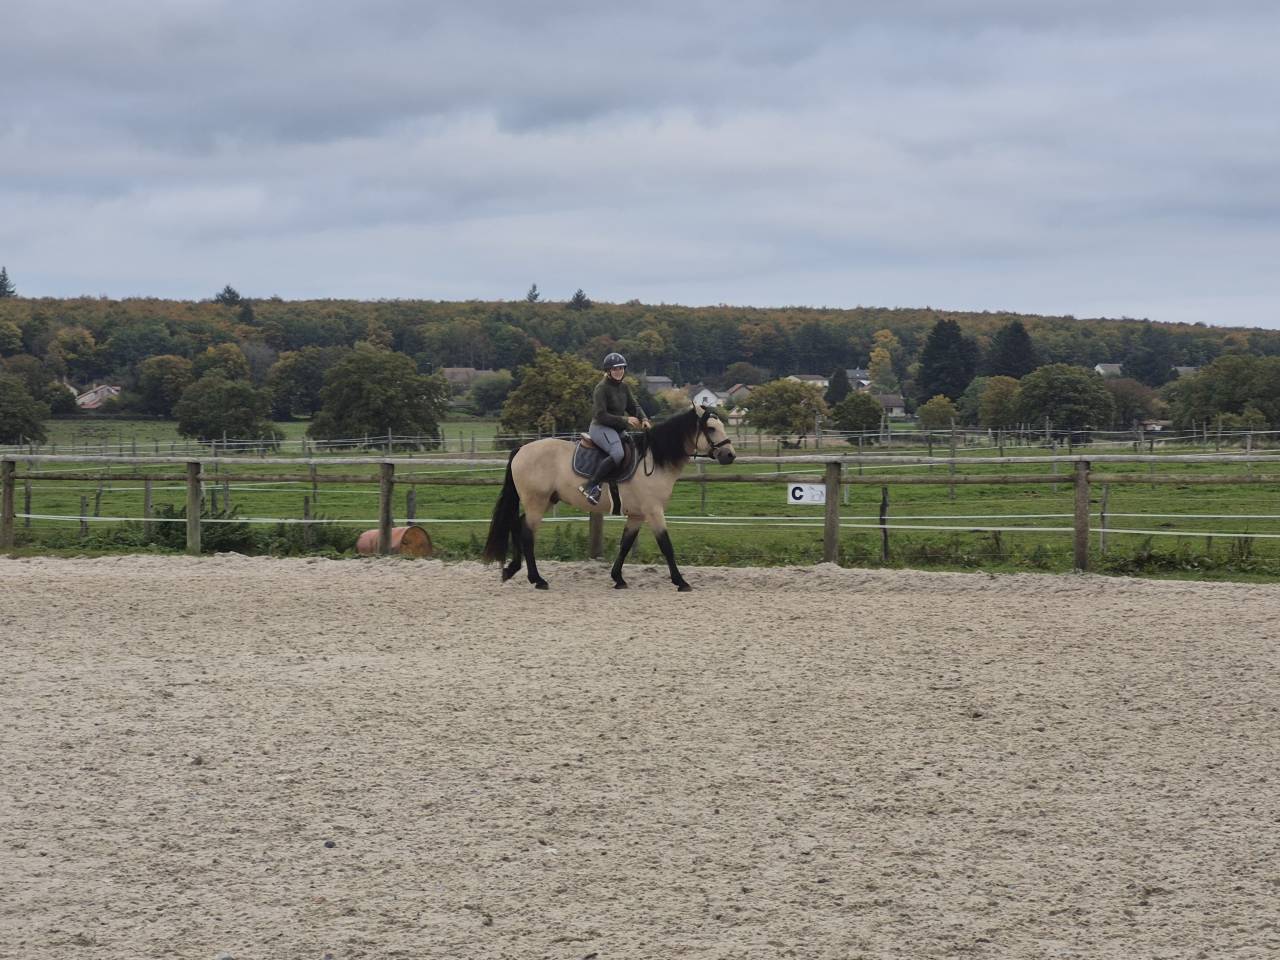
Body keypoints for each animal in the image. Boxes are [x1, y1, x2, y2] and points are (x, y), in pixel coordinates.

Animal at [482, 404, 737, 591]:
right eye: (711, 429)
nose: (730, 455)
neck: (653, 461)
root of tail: (522, 450)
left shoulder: (637, 515)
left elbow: (625, 544)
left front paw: (618, 578)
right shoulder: (654, 511)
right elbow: (666, 545)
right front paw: (681, 581)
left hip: (545, 501)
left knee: (517, 525)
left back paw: (512, 569)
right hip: (537, 502)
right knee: (526, 533)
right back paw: (537, 579)